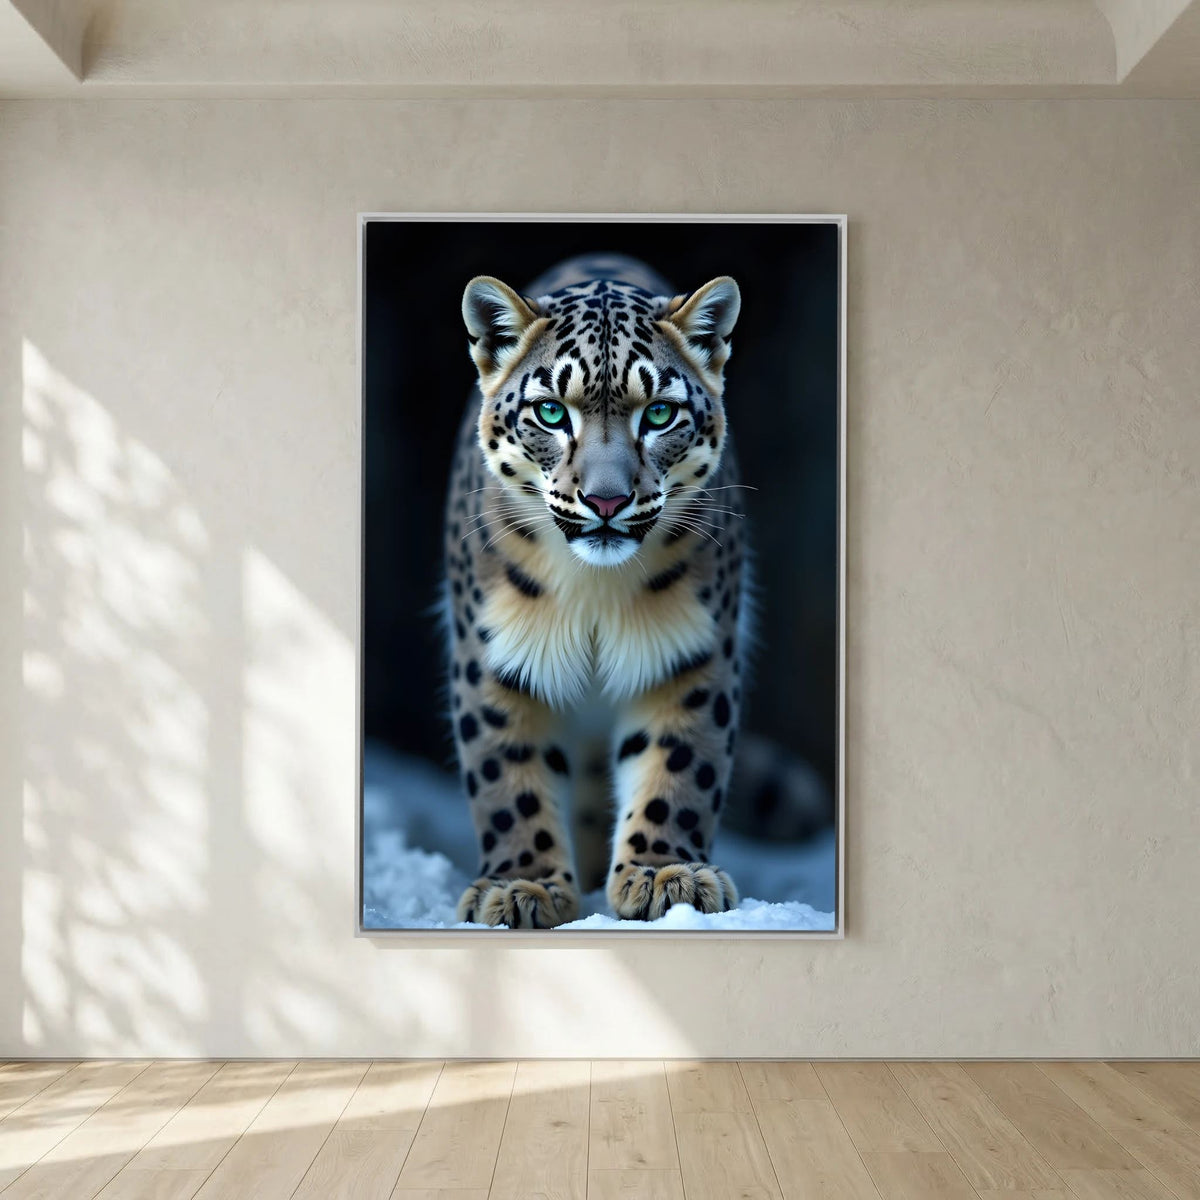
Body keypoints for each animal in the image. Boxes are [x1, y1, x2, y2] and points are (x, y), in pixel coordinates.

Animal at [443, 252, 755, 928]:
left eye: (658, 413)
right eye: (551, 412)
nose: (606, 500)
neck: (594, 591)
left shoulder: (690, 653)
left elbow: (679, 765)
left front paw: (667, 874)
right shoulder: (493, 657)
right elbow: (507, 776)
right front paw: (522, 886)